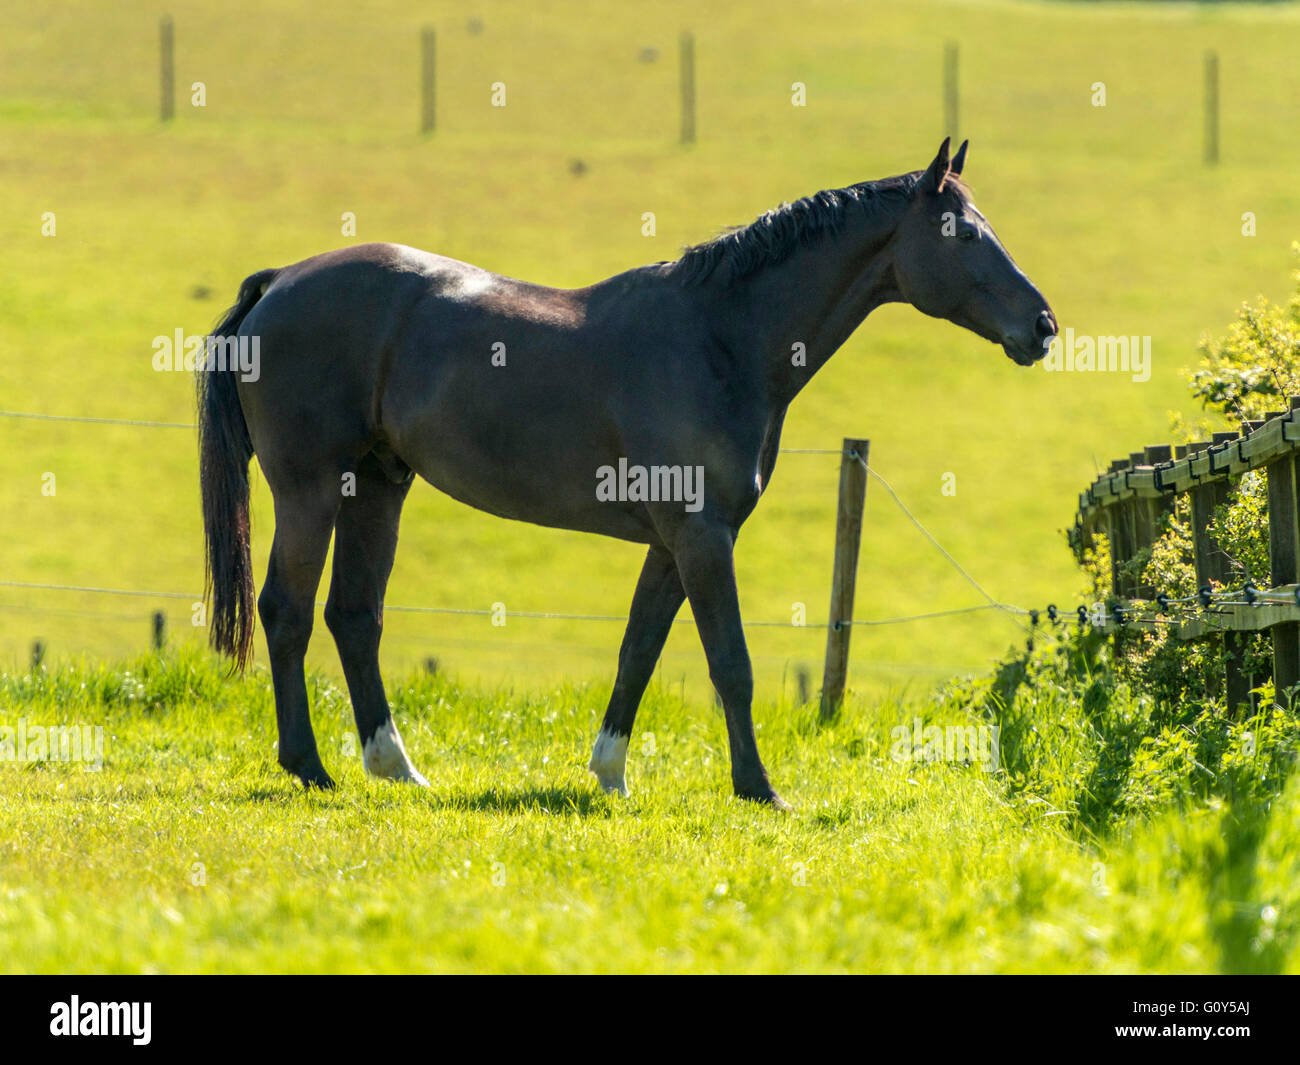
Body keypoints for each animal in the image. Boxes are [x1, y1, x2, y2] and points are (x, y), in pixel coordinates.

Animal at [200, 139, 1055, 806]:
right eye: (962, 232)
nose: (1043, 325)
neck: (719, 338)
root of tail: (278, 281)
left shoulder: (673, 544)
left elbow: (637, 651)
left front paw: (609, 772)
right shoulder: (704, 538)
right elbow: (731, 664)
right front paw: (759, 788)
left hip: (377, 485)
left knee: (354, 616)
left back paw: (395, 766)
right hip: (309, 490)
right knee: (287, 611)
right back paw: (311, 767)